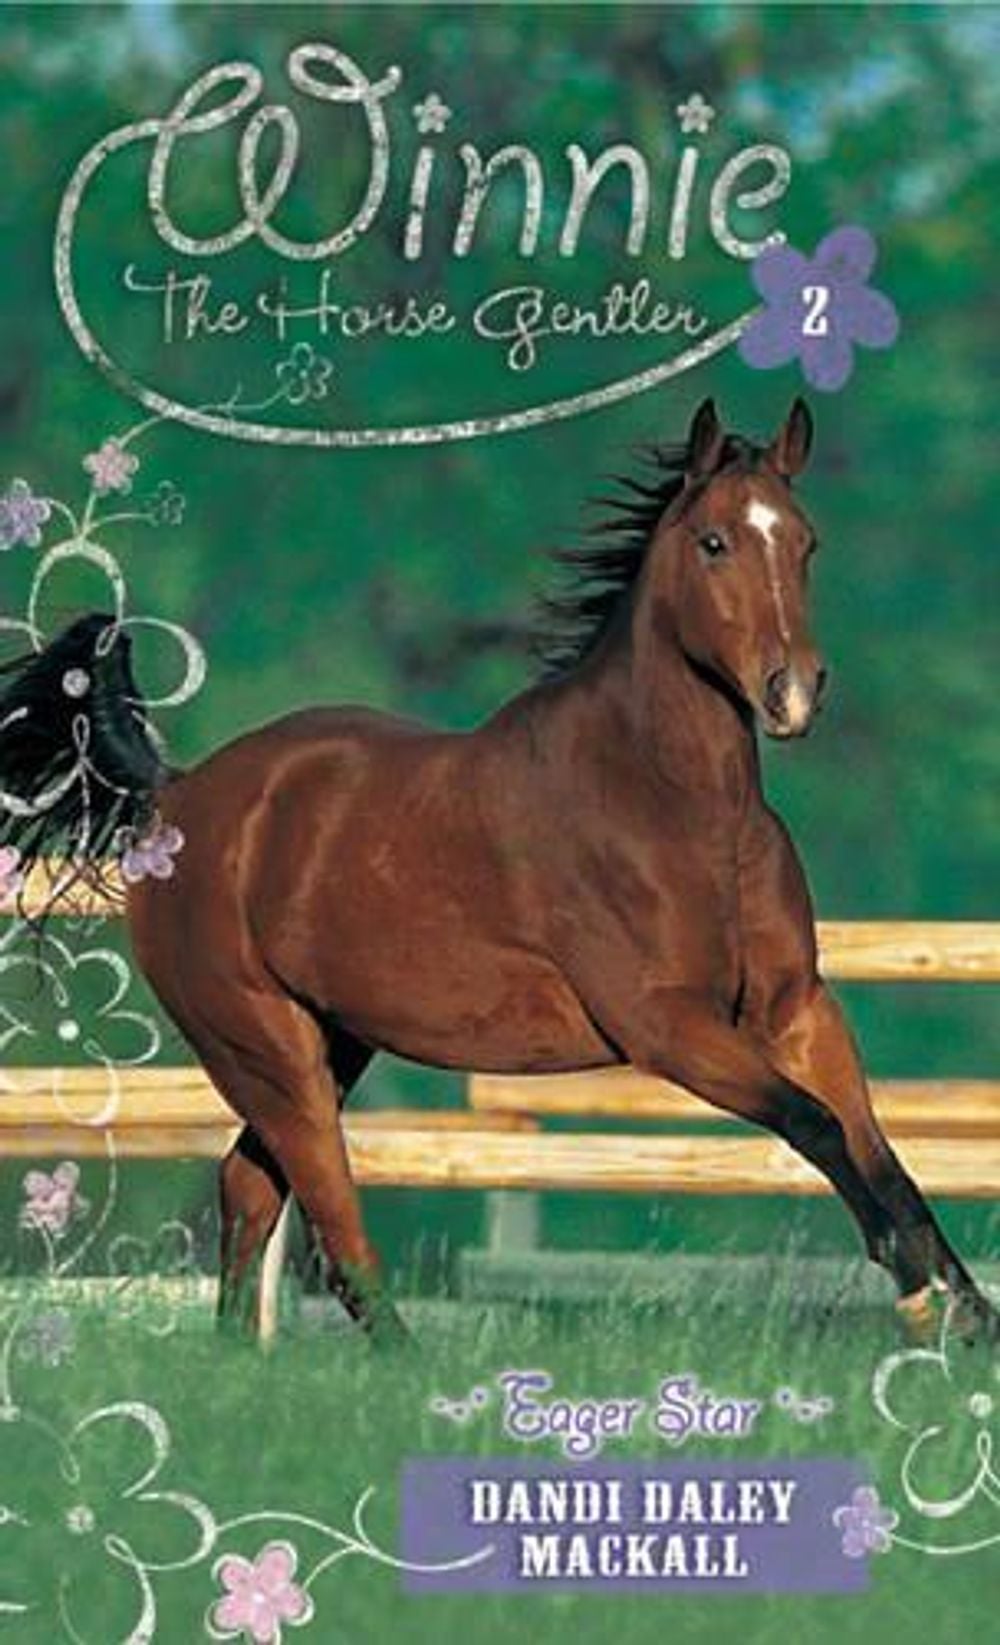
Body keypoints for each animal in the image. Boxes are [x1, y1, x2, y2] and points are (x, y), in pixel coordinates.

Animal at [1, 397, 995, 1345]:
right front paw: (922, 1301)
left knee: (249, 1185)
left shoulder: (797, 1009)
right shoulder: (669, 1027)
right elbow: (817, 1126)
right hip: (265, 1048)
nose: (793, 692)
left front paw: (968, 1317)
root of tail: (177, 794)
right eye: (714, 541)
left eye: (805, 540)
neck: (678, 809)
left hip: (333, 1038)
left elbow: (880, 1153)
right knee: (330, 1214)